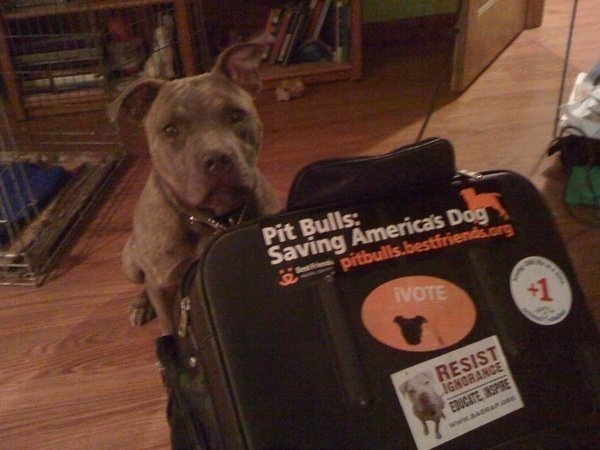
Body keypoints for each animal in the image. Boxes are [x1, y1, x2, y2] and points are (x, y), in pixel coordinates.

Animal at [108, 34, 281, 334]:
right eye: (170, 130)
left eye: (236, 115)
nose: (217, 159)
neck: (212, 219)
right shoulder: (163, 285)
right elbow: (168, 326)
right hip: (130, 260)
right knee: (143, 282)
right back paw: (141, 304)